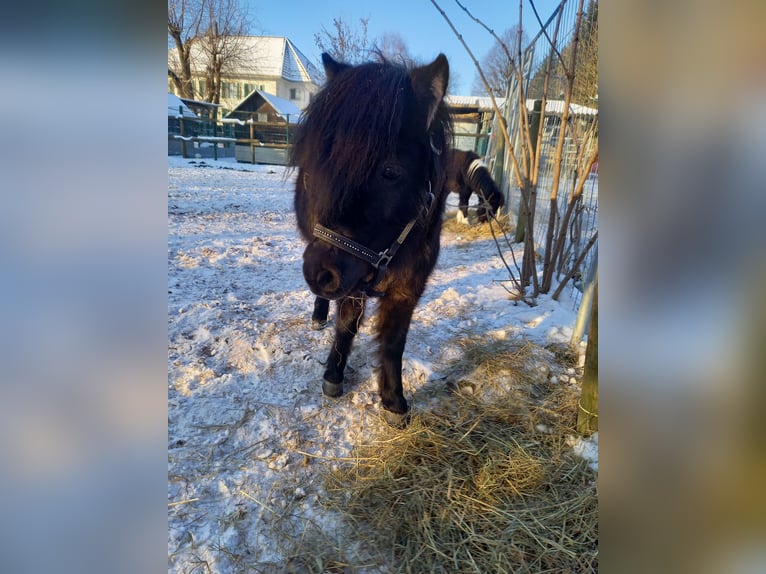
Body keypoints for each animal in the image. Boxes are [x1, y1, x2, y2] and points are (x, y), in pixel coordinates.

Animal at [291, 52, 451, 426]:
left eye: (391, 171)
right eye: (319, 165)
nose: (319, 273)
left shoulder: (408, 289)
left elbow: (393, 343)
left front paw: (394, 402)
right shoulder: (353, 281)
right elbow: (346, 326)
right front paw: (333, 376)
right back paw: (318, 314)